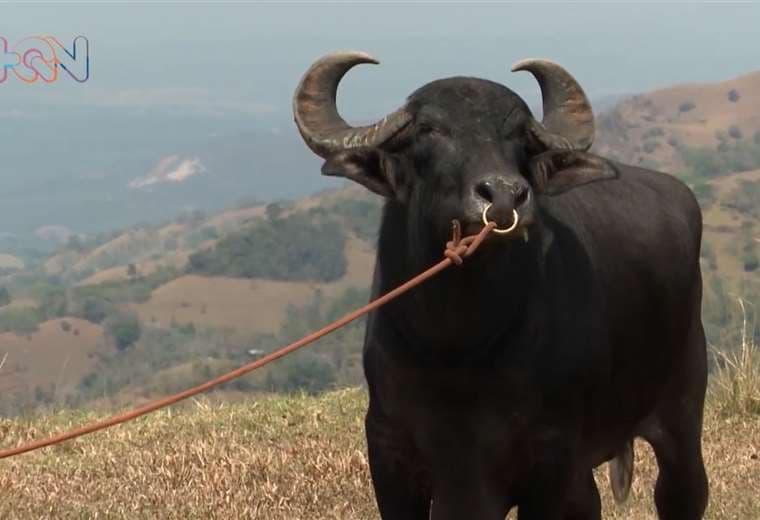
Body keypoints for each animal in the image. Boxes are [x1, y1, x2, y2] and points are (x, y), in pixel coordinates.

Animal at [293, 51, 708, 520]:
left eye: (519, 137)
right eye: (428, 130)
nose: (505, 195)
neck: (456, 347)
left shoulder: (549, 462)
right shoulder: (390, 455)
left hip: (680, 420)